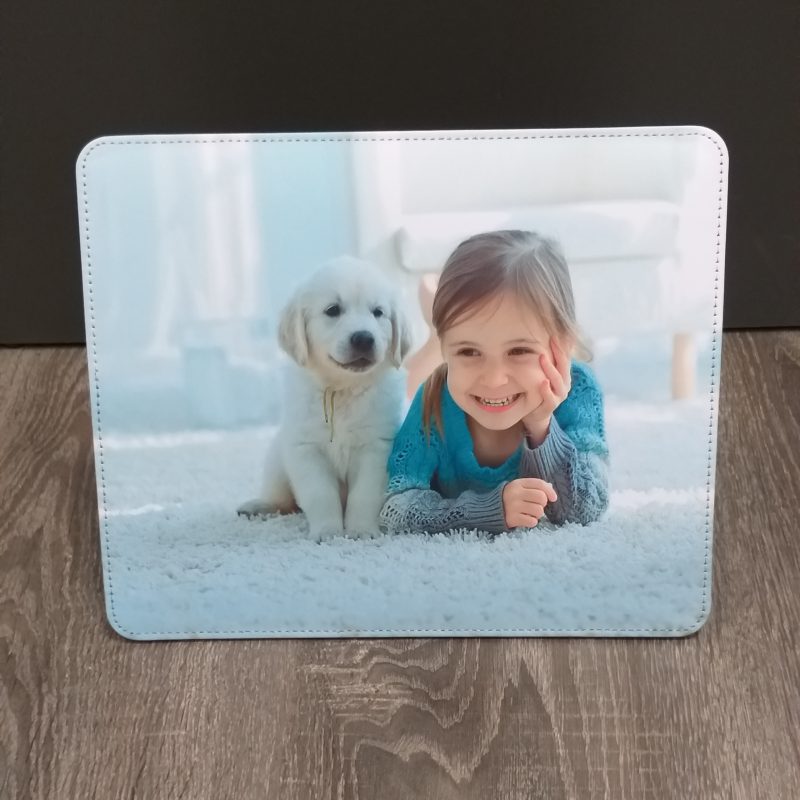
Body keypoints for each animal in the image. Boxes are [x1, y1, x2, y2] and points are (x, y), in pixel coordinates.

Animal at [237, 256, 413, 541]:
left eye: (378, 312)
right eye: (333, 310)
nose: (364, 338)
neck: (341, 390)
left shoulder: (376, 448)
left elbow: (364, 495)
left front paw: (361, 530)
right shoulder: (306, 449)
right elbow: (320, 495)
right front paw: (328, 531)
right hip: (276, 461)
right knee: (281, 499)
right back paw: (258, 505)